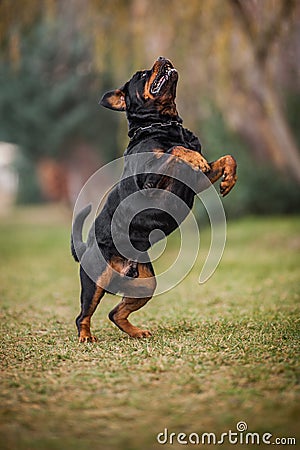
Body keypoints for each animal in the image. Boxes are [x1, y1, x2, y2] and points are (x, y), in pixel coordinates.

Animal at [71, 58, 237, 342]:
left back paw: (137, 332)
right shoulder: (150, 181)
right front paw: (192, 156)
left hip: (146, 283)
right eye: (141, 74)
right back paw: (86, 337)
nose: (162, 58)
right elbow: (174, 150)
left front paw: (228, 180)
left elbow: (227, 158)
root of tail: (85, 248)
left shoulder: (198, 180)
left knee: (114, 312)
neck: (163, 124)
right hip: (96, 280)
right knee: (83, 314)